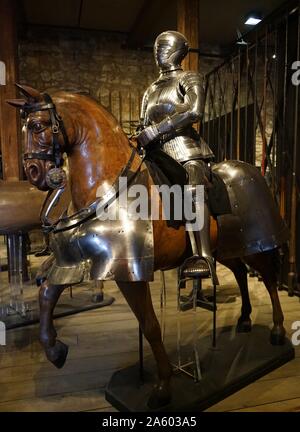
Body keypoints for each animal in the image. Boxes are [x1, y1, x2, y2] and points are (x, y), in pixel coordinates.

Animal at [7, 86, 288, 410]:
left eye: (37, 125)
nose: (34, 172)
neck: (107, 183)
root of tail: (250, 169)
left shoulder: (129, 270)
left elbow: (151, 325)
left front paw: (163, 387)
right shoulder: (74, 262)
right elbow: (46, 294)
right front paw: (55, 351)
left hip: (254, 241)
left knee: (267, 278)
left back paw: (277, 330)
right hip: (225, 248)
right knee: (241, 273)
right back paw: (243, 318)